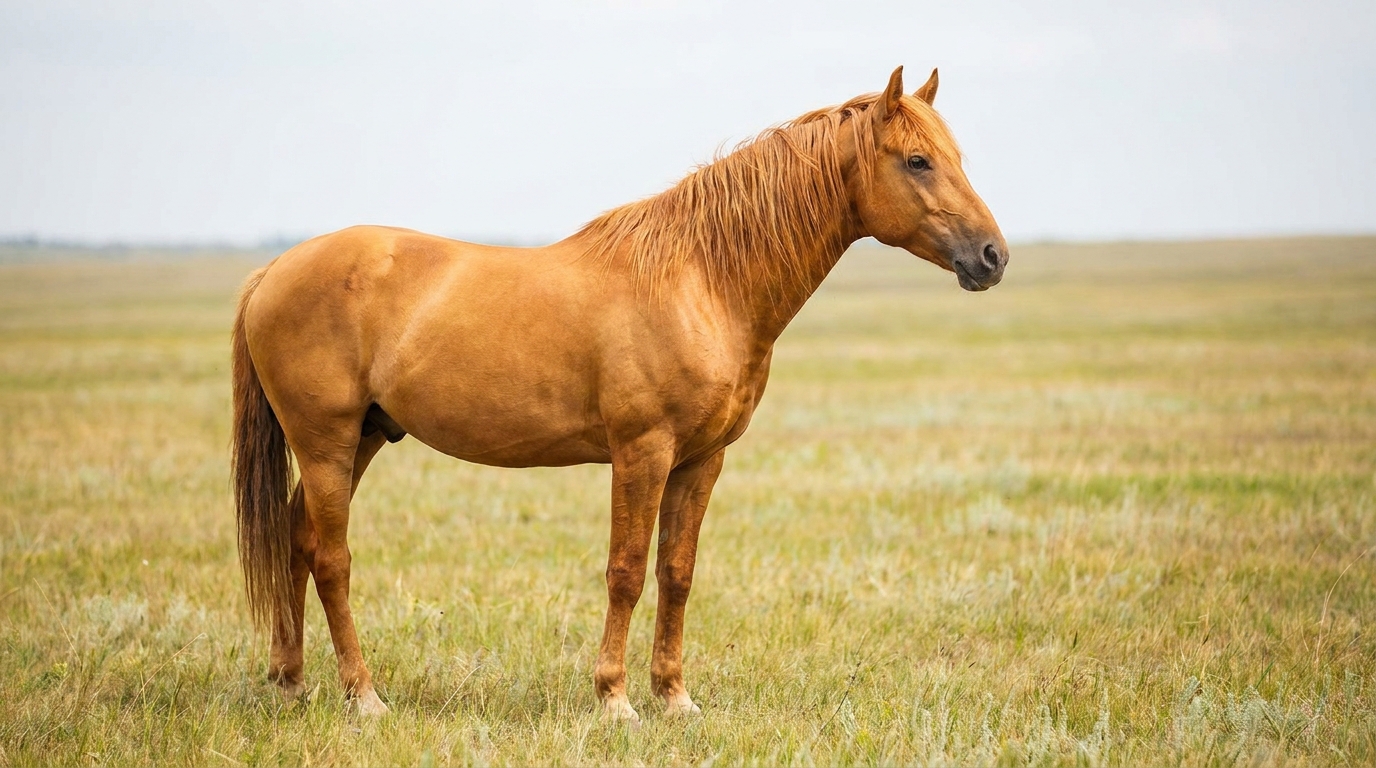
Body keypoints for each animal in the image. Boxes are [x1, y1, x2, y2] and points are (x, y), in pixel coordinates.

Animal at [231, 66, 1007, 722]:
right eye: (917, 160)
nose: (993, 257)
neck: (702, 280)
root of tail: (274, 270)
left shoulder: (701, 460)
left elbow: (676, 572)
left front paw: (675, 698)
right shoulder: (643, 453)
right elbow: (627, 572)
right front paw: (616, 700)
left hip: (362, 438)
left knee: (298, 542)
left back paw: (292, 682)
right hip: (326, 442)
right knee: (331, 559)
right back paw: (363, 697)